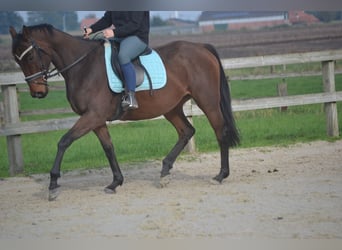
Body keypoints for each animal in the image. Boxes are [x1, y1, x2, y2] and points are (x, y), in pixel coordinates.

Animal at [10, 23, 240, 199]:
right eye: (16, 60)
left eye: (30, 58)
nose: (38, 93)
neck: (84, 67)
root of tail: (202, 47)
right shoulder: (96, 120)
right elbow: (108, 148)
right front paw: (115, 182)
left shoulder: (92, 116)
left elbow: (64, 142)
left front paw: (53, 185)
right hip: (172, 107)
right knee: (186, 131)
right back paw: (165, 172)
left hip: (208, 102)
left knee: (220, 131)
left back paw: (221, 175)